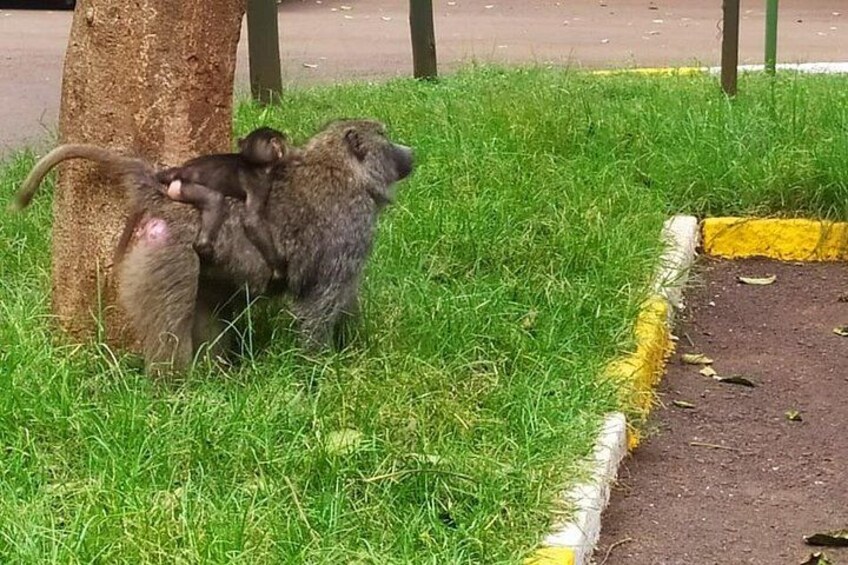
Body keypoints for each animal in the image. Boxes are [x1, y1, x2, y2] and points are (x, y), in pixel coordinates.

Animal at [155, 126, 298, 281]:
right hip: (186, 188)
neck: (253, 163)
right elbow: (253, 221)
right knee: (214, 199)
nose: (287, 147)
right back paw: (204, 247)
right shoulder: (260, 185)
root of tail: (179, 172)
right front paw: (279, 268)